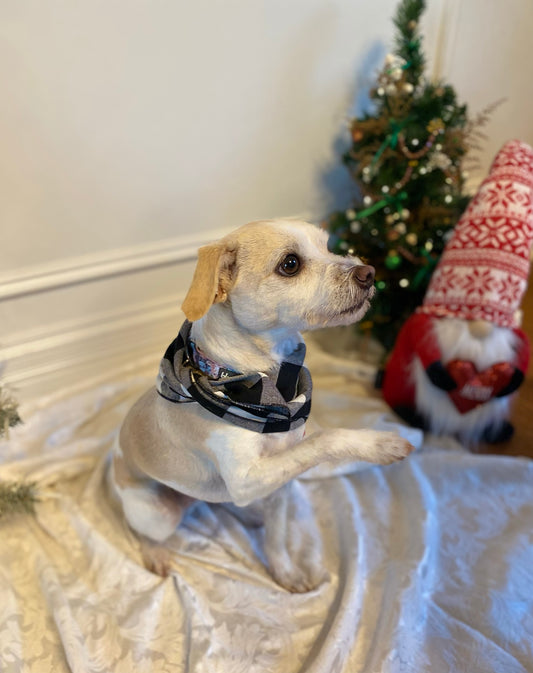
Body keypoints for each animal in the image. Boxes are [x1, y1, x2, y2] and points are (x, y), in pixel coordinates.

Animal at [110, 219, 414, 588]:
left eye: (328, 247)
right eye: (290, 264)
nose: (369, 273)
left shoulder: (279, 483)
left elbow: (276, 538)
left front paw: (285, 574)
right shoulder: (246, 478)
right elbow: (327, 438)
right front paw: (380, 444)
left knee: (223, 502)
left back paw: (251, 513)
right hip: (158, 513)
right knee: (142, 532)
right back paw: (155, 552)